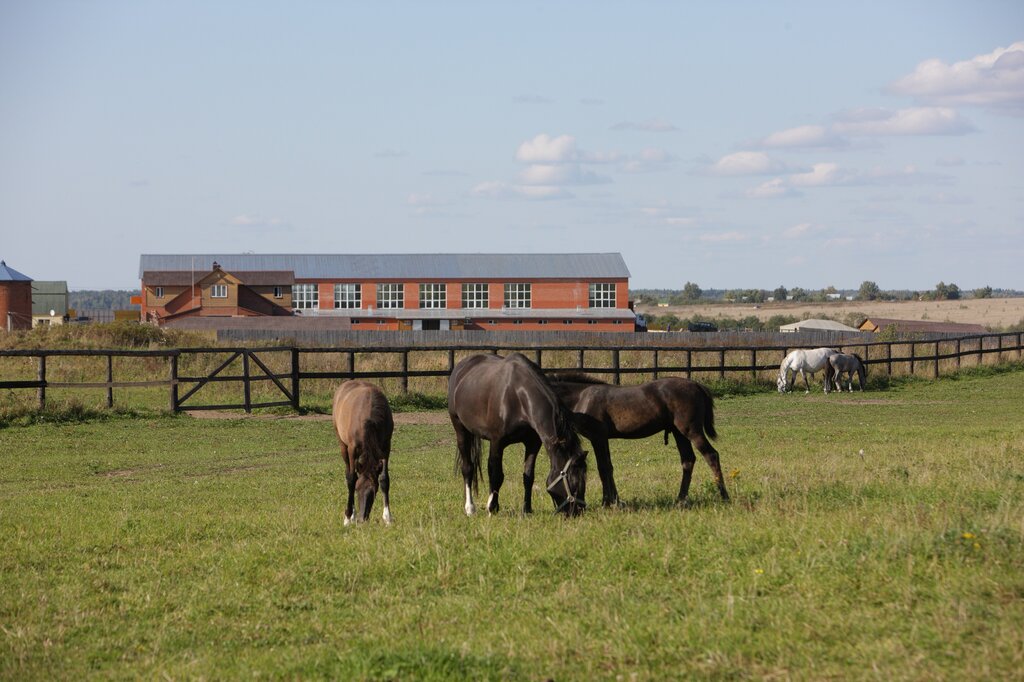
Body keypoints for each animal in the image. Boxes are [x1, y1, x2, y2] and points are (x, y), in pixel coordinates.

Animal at [329, 378, 393, 522]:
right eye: (357, 490)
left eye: (374, 491)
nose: (362, 519)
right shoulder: (352, 449)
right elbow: (352, 479)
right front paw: (348, 516)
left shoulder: (385, 447)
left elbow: (384, 479)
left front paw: (387, 517)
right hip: (342, 445)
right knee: (348, 474)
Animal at [446, 352, 589, 512]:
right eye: (573, 481)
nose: (578, 511)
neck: (519, 397)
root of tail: (461, 367)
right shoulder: (497, 442)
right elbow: (496, 475)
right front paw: (492, 507)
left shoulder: (533, 443)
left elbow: (528, 476)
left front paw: (527, 509)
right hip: (461, 430)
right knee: (468, 468)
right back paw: (470, 508)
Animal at [552, 372, 729, 503]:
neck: (582, 396)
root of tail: (697, 385)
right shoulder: (603, 439)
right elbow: (609, 467)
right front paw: (616, 501)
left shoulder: (598, 438)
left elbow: (603, 468)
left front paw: (606, 502)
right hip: (679, 433)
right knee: (688, 460)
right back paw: (680, 499)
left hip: (691, 431)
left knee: (711, 455)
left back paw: (724, 496)